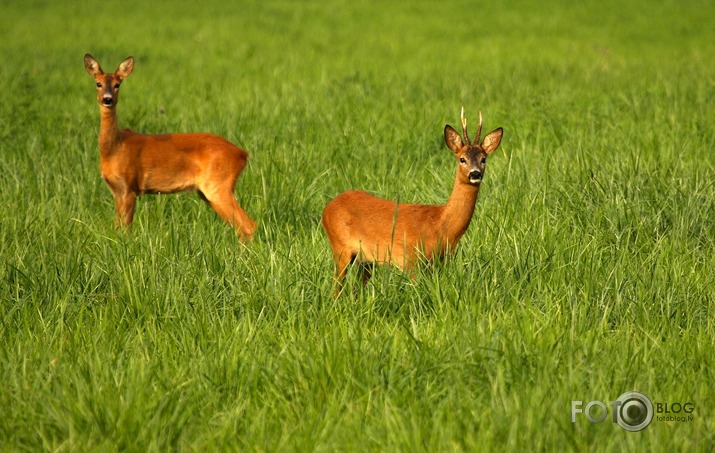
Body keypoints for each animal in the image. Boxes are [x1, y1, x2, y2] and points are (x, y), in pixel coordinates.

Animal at [324, 108, 504, 294]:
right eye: (462, 159)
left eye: (483, 159)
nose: (475, 173)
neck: (441, 226)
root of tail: (328, 207)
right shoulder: (412, 260)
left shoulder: (441, 262)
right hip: (340, 248)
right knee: (335, 290)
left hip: (365, 260)